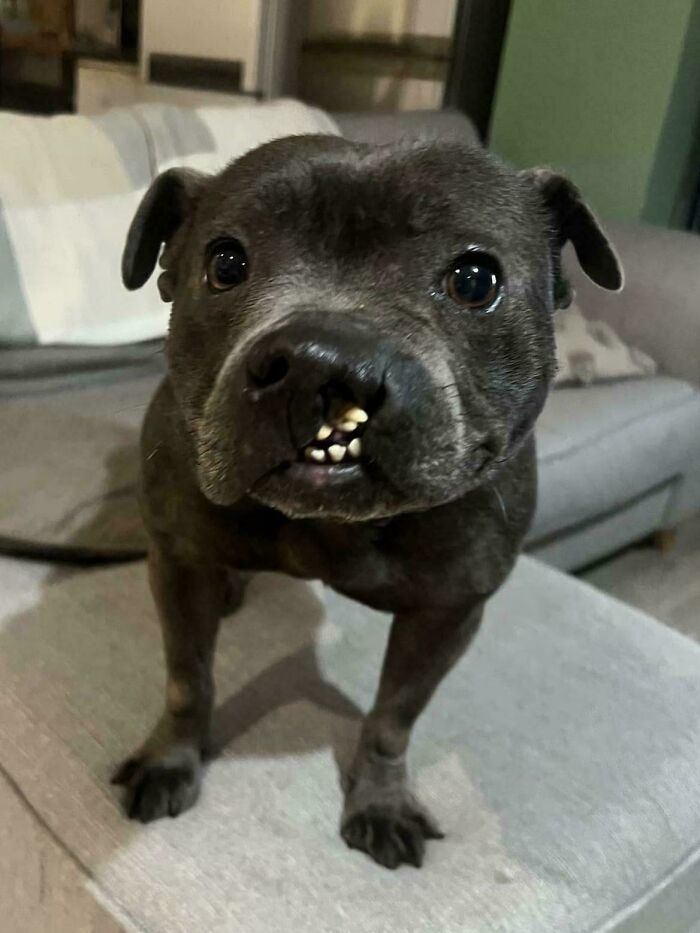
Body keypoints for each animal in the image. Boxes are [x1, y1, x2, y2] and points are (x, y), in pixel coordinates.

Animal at [115, 135, 624, 872]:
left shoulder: (447, 612)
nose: (319, 363)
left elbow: (391, 720)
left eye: (476, 280)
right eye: (225, 263)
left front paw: (379, 801)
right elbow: (187, 677)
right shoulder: (177, 563)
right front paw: (170, 760)